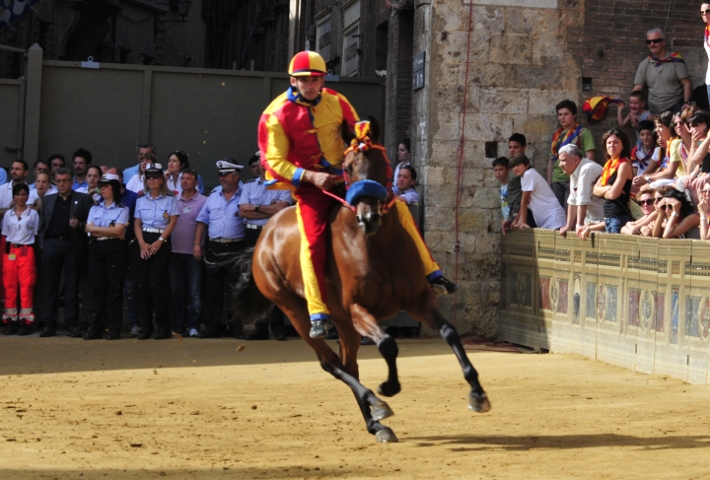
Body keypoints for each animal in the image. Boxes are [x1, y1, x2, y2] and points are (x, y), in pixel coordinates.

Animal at [232, 118, 490, 440]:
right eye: (348, 167)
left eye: (383, 162)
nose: (368, 217)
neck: (378, 245)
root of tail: (264, 236)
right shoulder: (358, 308)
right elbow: (388, 344)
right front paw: (388, 387)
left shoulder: (418, 300)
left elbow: (449, 332)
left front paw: (477, 393)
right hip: (295, 310)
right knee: (331, 363)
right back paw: (375, 404)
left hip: (342, 321)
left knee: (349, 364)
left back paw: (375, 423)